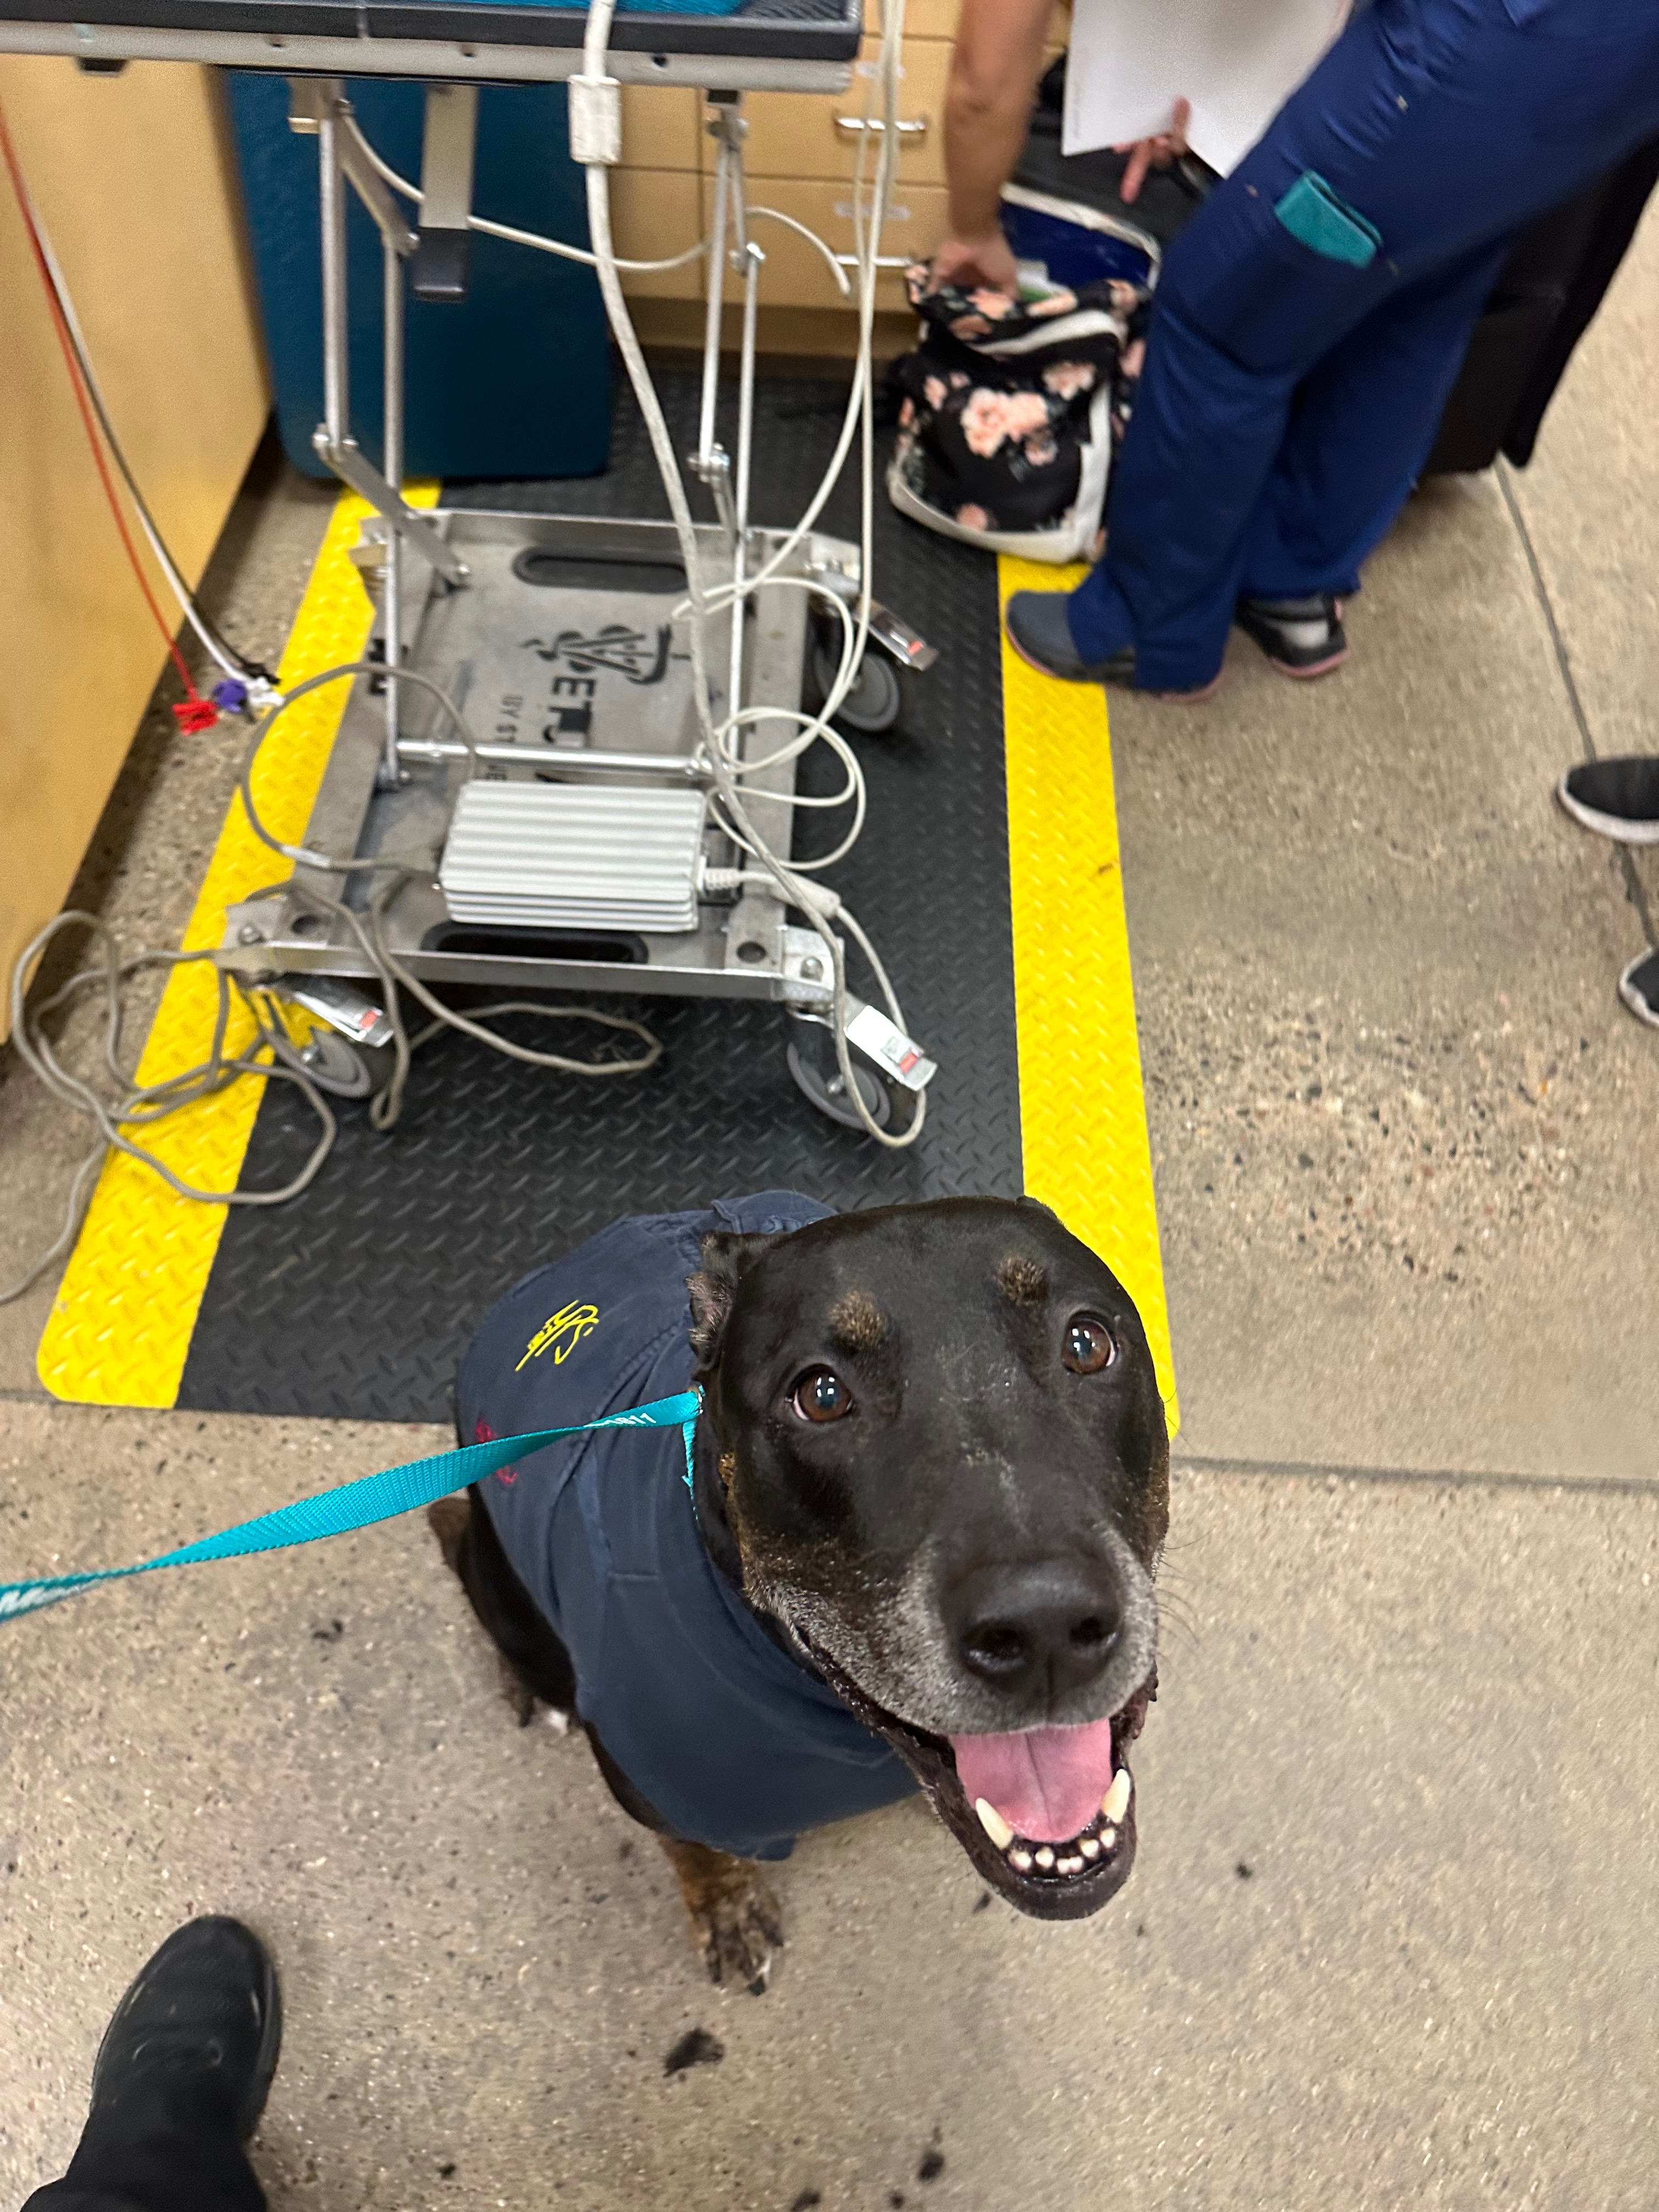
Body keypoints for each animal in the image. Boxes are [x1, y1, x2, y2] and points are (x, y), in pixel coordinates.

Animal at [430, 1189, 1167, 1991]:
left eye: (1086, 1343)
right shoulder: (650, 1781)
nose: (1044, 1625)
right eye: (820, 1394)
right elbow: (692, 1848)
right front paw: (726, 1907)